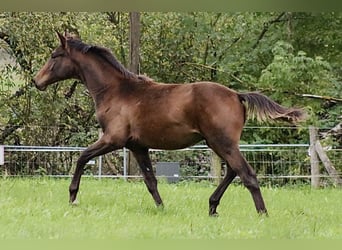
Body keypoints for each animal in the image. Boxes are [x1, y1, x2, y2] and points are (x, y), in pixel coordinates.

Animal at [34, 32, 308, 216]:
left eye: (54, 56)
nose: (37, 81)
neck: (115, 91)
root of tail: (236, 95)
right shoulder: (137, 146)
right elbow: (150, 180)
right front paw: (162, 208)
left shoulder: (113, 139)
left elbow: (81, 157)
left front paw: (72, 196)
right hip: (219, 143)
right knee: (233, 170)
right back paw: (212, 207)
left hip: (221, 142)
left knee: (246, 174)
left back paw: (262, 214)